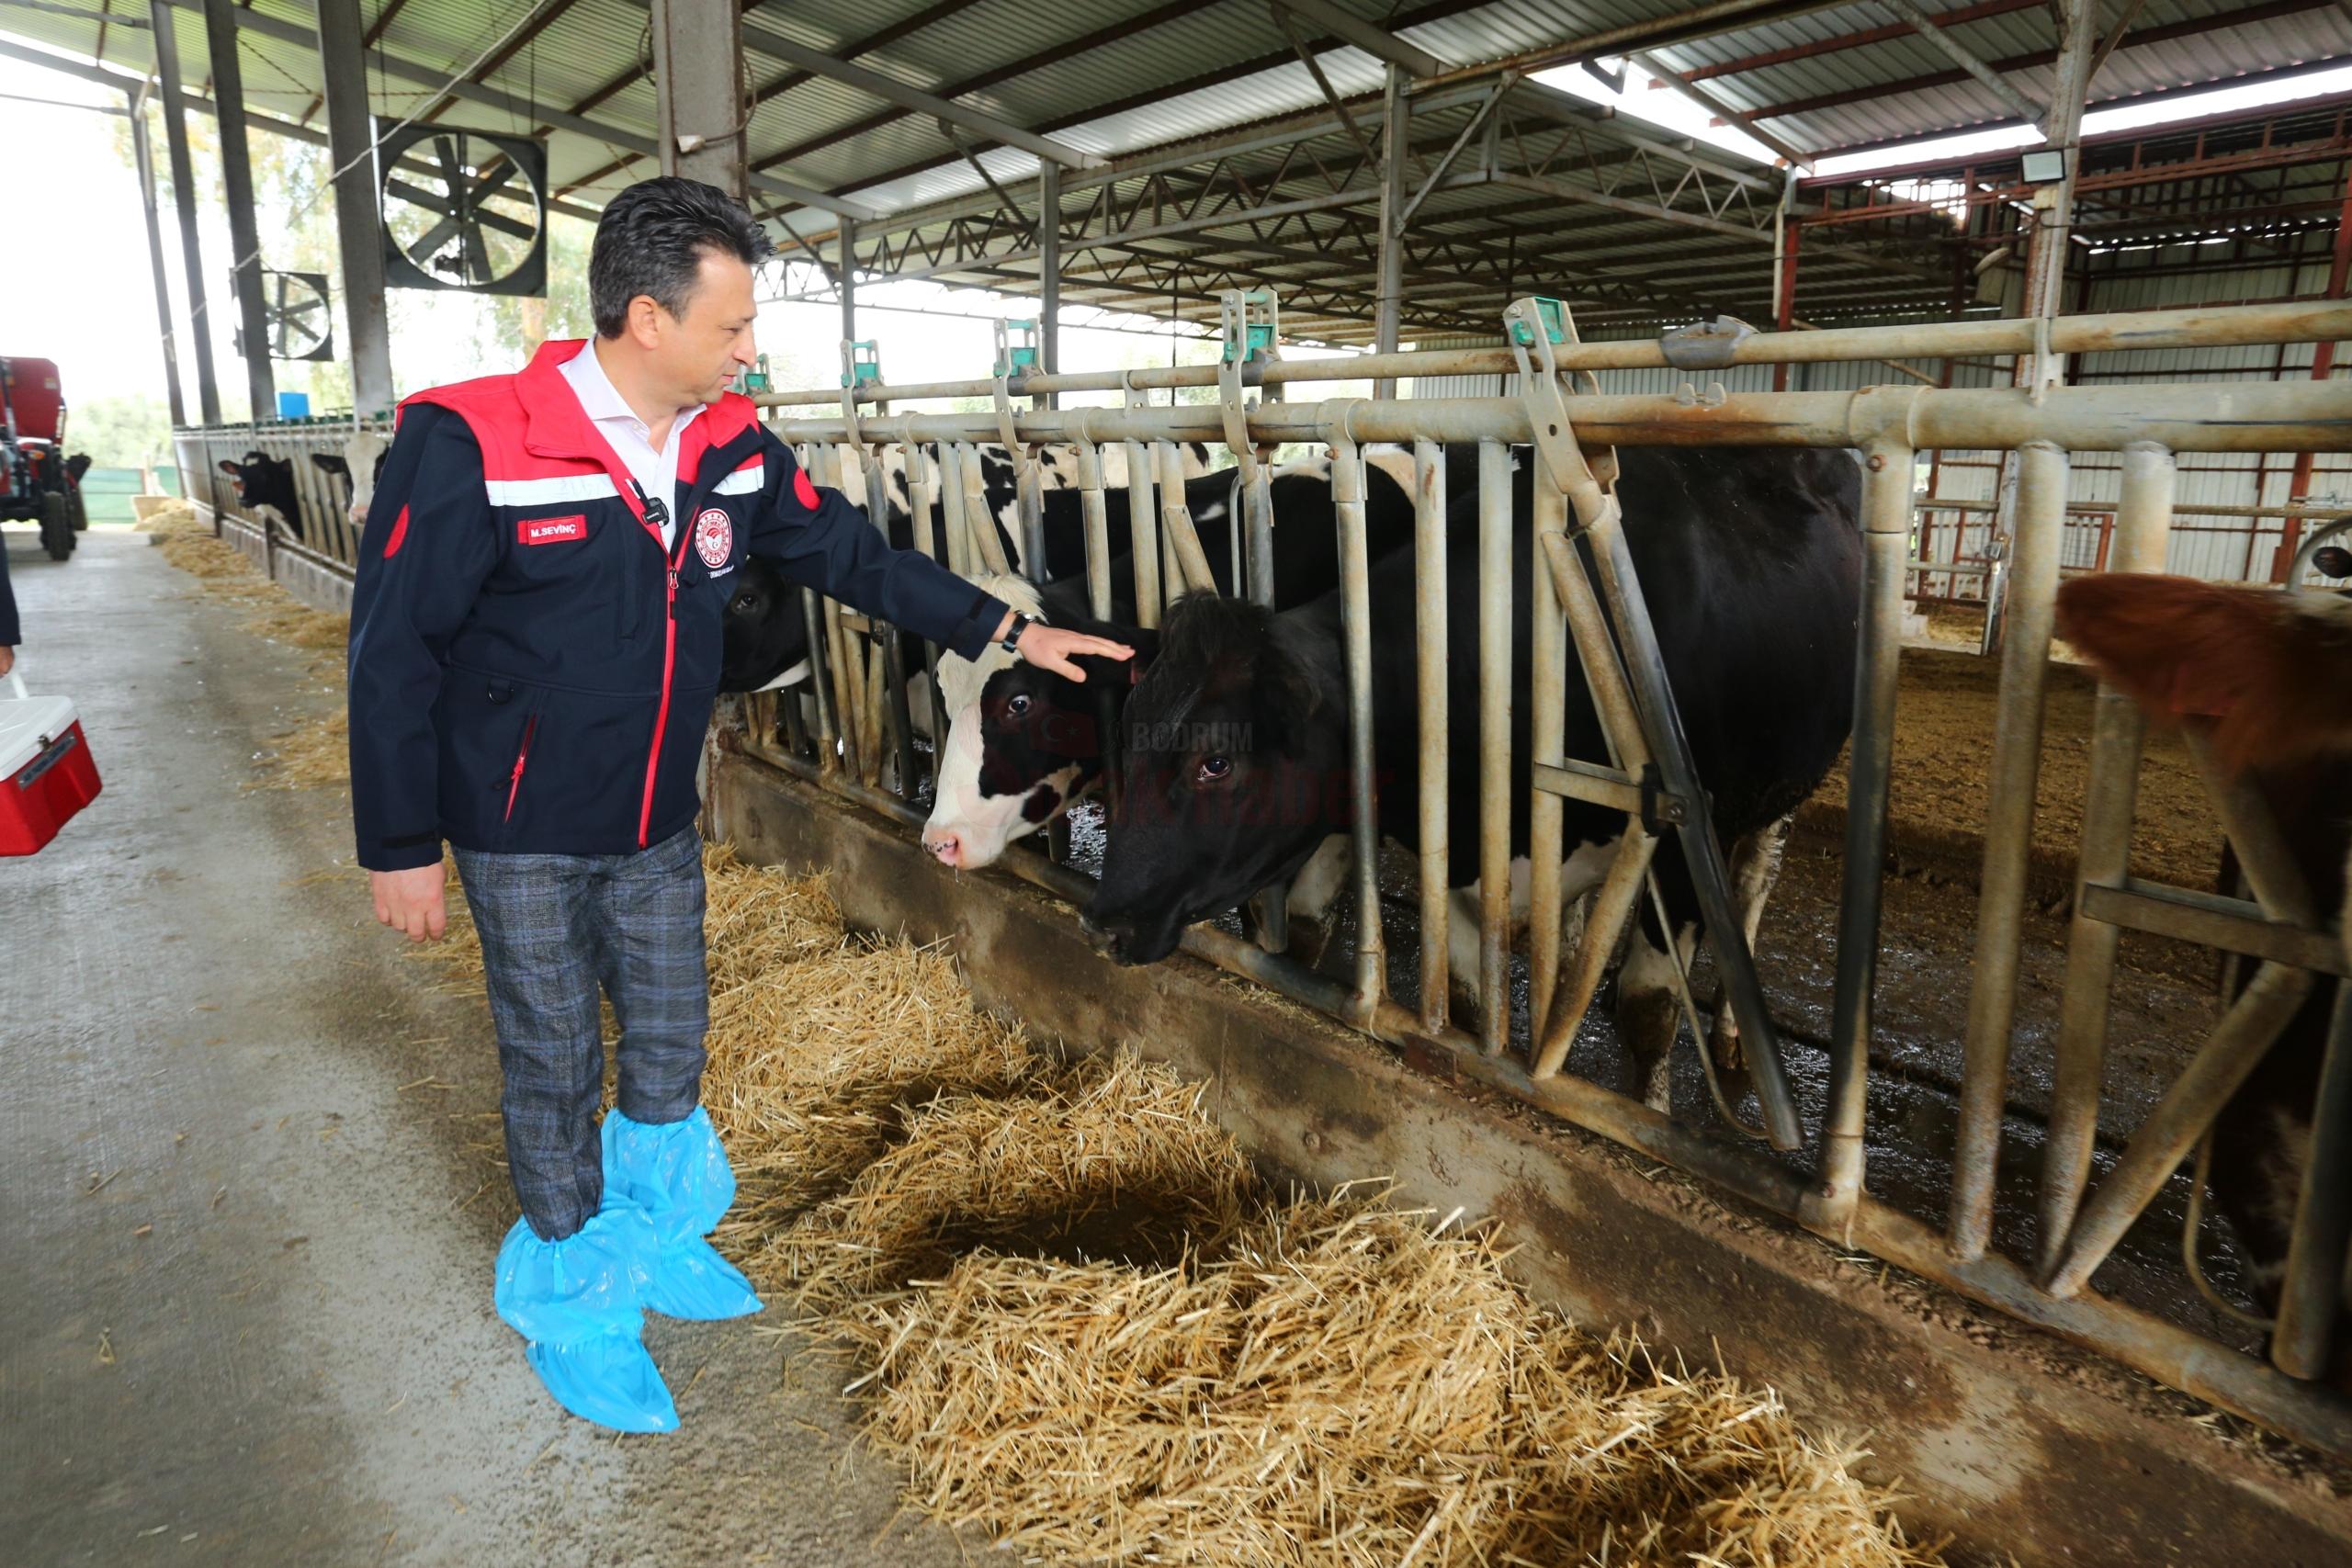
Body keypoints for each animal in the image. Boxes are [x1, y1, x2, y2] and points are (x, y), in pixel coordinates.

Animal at [1077, 446, 1862, 1109]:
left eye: (1216, 761)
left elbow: (1650, 1010)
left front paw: (1651, 1112)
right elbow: (1463, 997)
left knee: (1754, 880)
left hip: (1777, 792)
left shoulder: (1681, 835)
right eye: (1127, 733)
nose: (1104, 919)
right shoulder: (1458, 860)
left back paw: (1729, 1030)